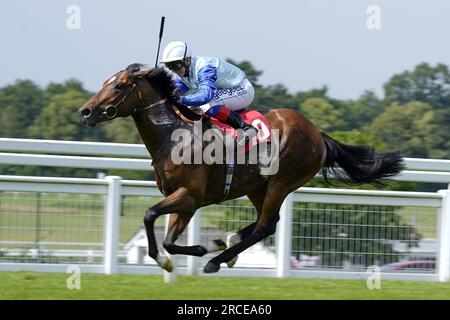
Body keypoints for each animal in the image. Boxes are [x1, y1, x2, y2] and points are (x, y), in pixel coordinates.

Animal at [78, 63, 404, 274]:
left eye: (119, 85)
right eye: (105, 81)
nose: (86, 111)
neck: (173, 136)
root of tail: (316, 133)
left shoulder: (189, 196)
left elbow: (148, 215)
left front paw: (192, 254)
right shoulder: (184, 201)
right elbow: (169, 240)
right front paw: (182, 255)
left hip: (281, 182)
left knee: (265, 225)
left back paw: (216, 260)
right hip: (258, 186)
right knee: (268, 220)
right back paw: (227, 243)